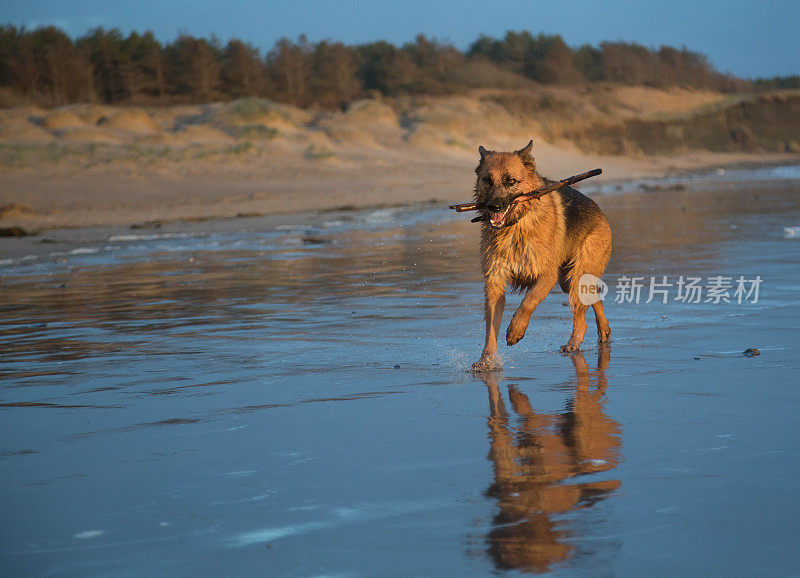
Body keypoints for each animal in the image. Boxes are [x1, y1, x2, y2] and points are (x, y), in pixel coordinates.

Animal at [468, 138, 612, 368]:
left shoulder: (547, 276)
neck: (517, 224)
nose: (494, 207)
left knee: (581, 319)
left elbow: (529, 301)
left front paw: (516, 330)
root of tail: (599, 211)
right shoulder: (495, 282)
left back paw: (573, 343)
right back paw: (604, 329)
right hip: (568, 281)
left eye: (511, 181)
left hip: (575, 276)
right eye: (488, 180)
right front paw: (487, 359)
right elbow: (491, 328)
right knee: (593, 299)